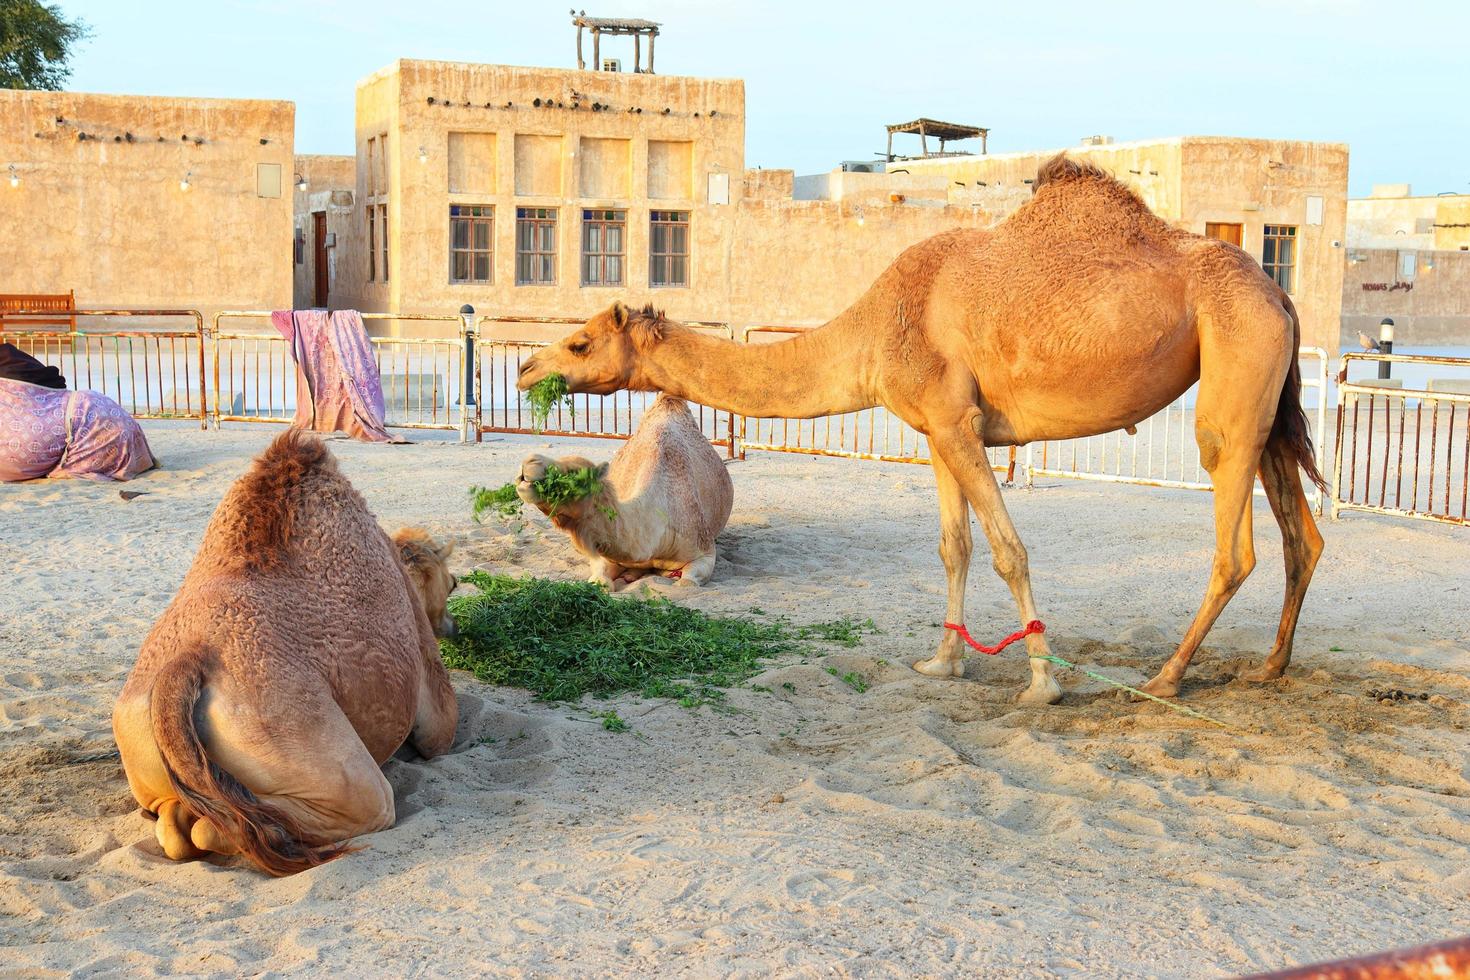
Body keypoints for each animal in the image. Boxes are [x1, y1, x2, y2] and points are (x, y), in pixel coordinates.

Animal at [112, 431, 458, 875]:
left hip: (139, 746)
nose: (452, 626)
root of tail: (185, 664)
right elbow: (439, 732)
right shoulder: (427, 673)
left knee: (175, 826)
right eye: (452, 583)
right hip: (314, 752)